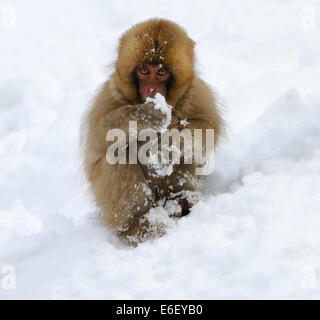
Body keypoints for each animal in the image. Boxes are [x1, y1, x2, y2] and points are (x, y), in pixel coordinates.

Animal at [82, 18, 222, 244]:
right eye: (144, 71)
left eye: (162, 72)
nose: (151, 90)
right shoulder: (111, 93)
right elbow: (97, 138)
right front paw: (145, 116)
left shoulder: (195, 92)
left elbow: (206, 127)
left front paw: (164, 149)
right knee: (120, 155)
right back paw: (139, 225)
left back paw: (181, 201)